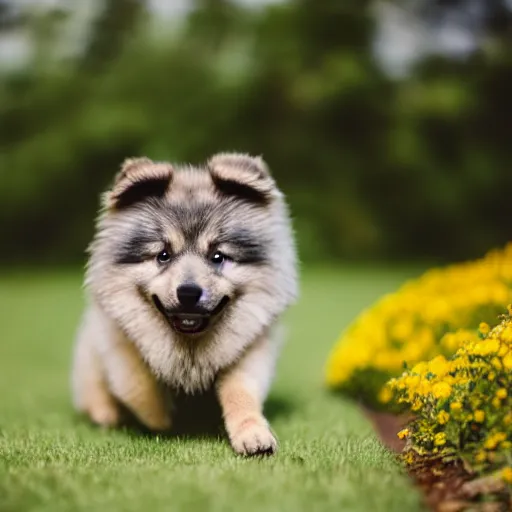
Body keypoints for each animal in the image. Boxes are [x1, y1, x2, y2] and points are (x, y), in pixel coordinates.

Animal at [70, 153, 298, 456]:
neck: (190, 349)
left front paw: (252, 433)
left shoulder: (249, 353)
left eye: (217, 256)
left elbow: (241, 393)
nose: (188, 292)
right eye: (163, 255)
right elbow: (141, 388)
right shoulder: (118, 343)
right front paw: (164, 421)